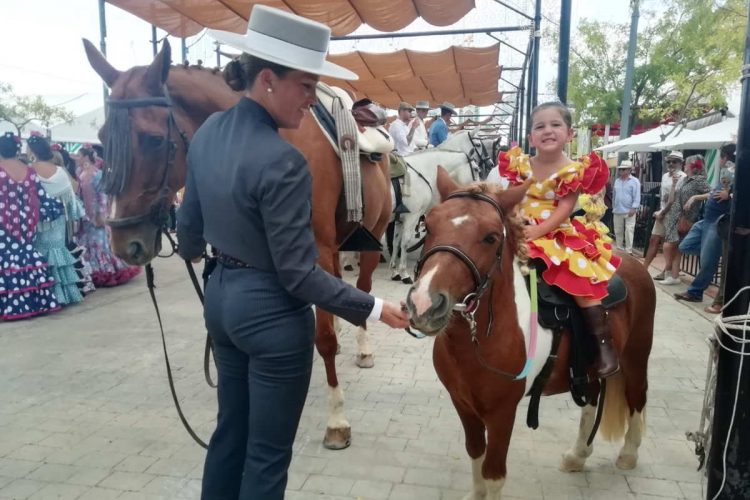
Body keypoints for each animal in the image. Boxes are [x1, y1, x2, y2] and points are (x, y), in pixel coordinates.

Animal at [85, 40, 394, 450]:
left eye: (153, 139)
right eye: (103, 138)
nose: (124, 243)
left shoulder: (318, 251)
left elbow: (324, 338)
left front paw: (337, 421)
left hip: (371, 238)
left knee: (364, 288)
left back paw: (363, 348)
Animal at [402, 170, 656, 498]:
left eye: (491, 237)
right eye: (429, 225)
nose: (424, 304)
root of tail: (633, 263)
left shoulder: (502, 413)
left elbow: (493, 473)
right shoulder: (463, 405)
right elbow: (475, 452)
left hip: (636, 356)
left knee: (637, 397)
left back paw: (628, 454)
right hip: (589, 368)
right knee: (591, 398)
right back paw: (577, 455)